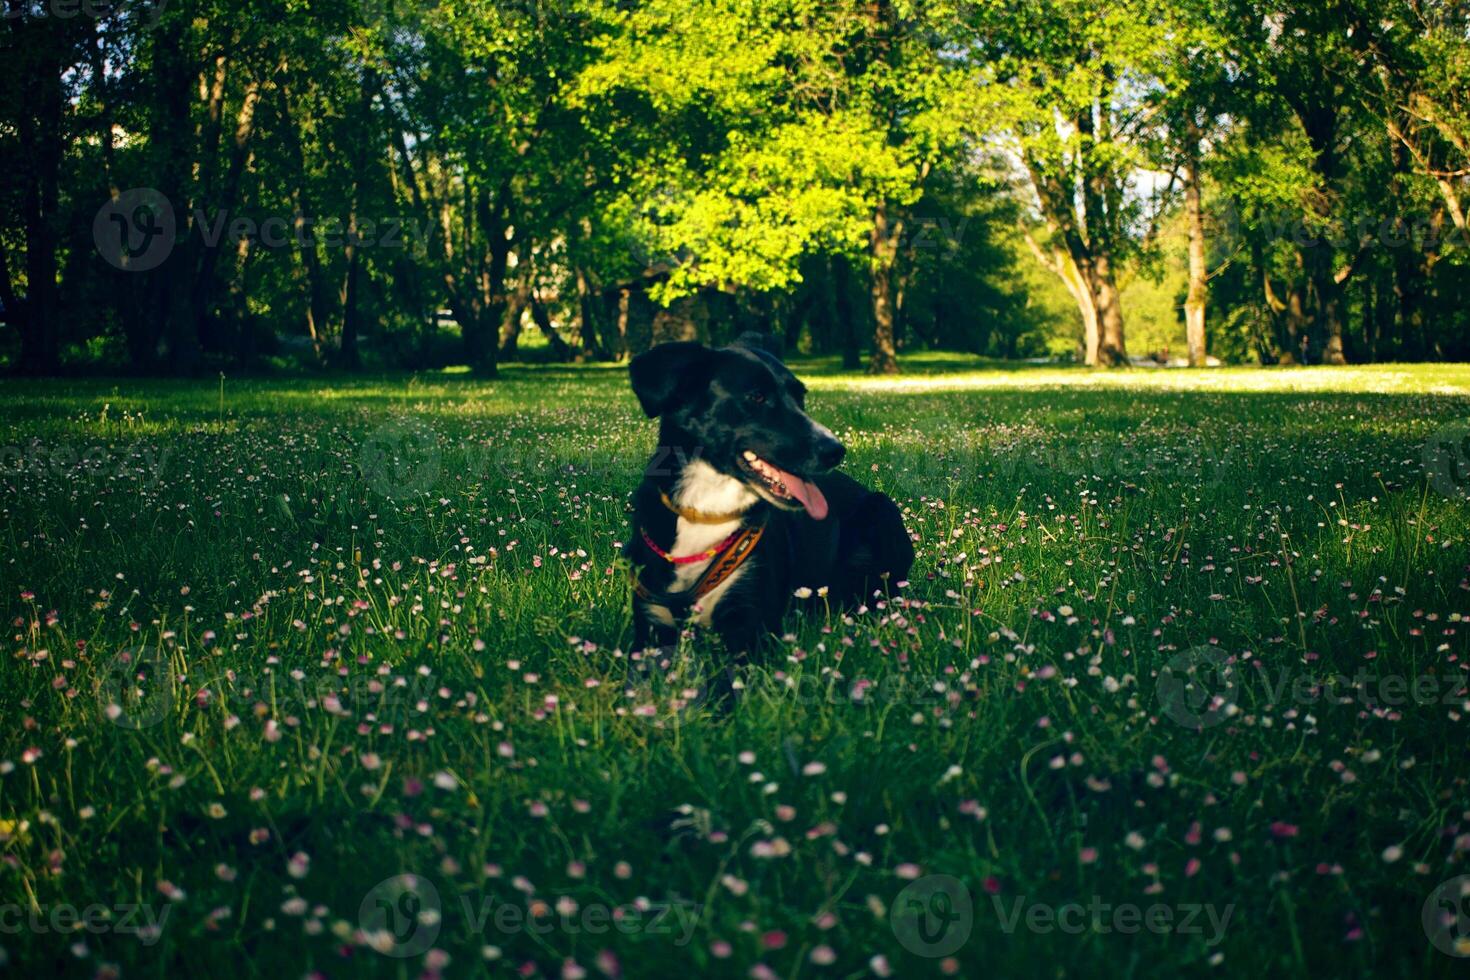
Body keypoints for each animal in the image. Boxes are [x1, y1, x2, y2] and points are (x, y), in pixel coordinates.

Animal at [626, 339, 911, 675]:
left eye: (800, 397)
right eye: (757, 397)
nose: (835, 451)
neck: (707, 511)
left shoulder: (751, 625)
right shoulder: (650, 627)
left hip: (882, 509)